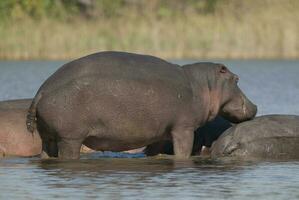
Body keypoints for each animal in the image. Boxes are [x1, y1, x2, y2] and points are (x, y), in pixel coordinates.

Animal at [27, 51, 258, 159]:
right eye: (236, 79)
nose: (256, 106)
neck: (203, 85)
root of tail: (42, 90)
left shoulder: (159, 133)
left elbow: (154, 150)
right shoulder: (183, 128)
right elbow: (183, 150)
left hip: (48, 136)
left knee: (46, 152)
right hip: (70, 139)